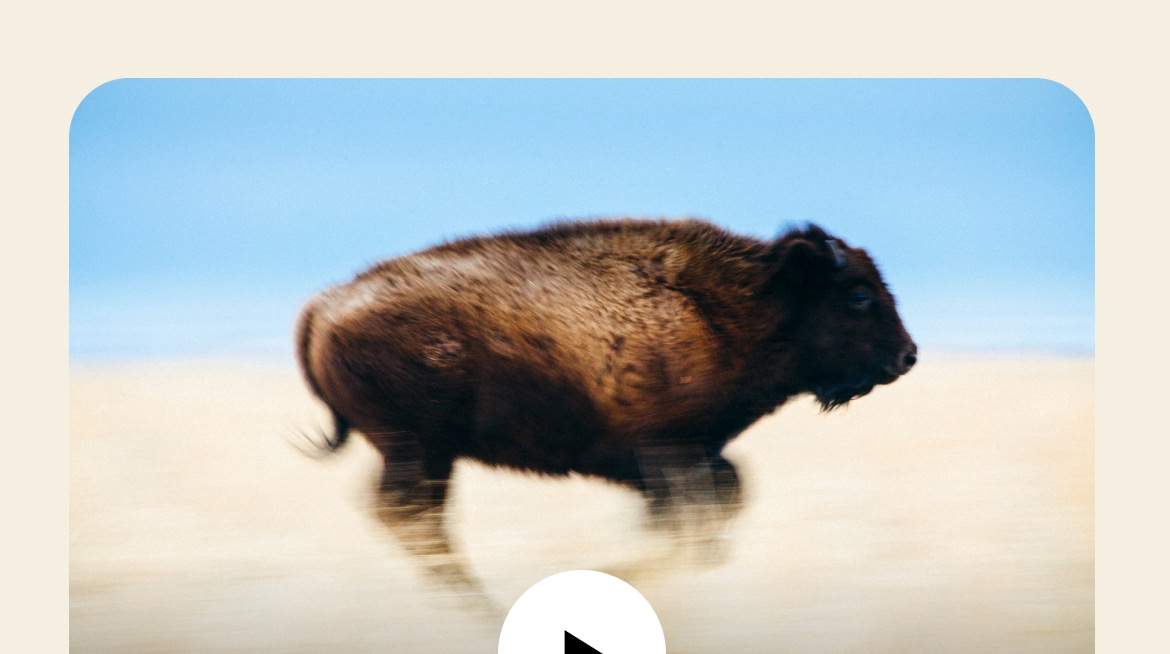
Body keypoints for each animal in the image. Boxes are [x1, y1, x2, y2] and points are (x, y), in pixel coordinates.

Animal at [296, 218, 916, 588]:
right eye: (859, 295)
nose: (908, 355)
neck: (729, 305)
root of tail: (324, 307)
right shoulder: (668, 453)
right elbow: (701, 510)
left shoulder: (671, 460)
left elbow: (722, 495)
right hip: (419, 450)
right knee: (414, 520)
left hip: (426, 455)